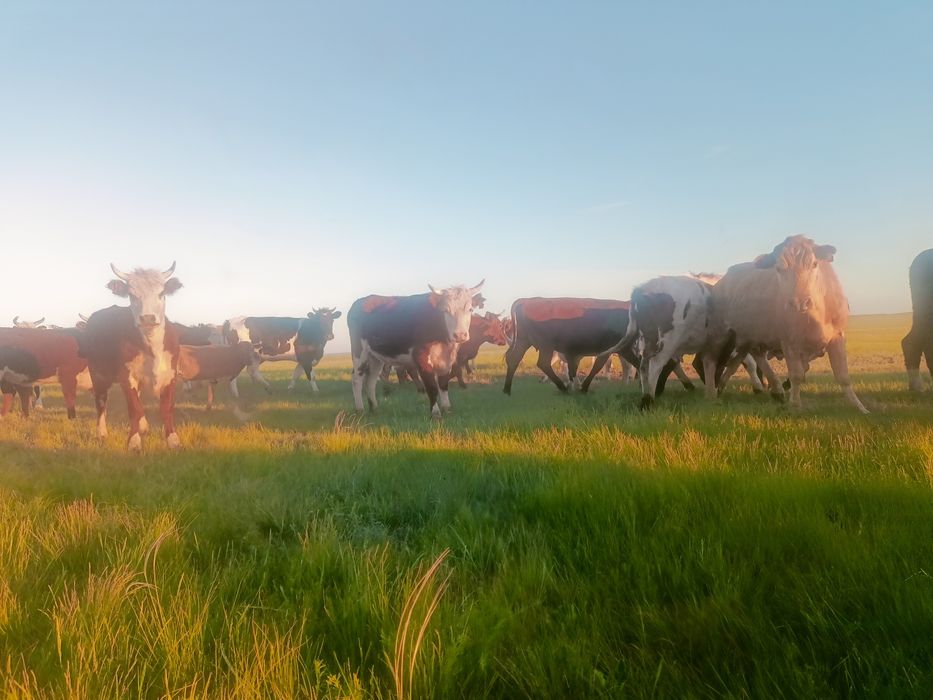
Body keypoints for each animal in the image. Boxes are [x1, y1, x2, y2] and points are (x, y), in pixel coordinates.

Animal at [81, 263, 184, 449]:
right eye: (131, 295)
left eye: (162, 293)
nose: (148, 318)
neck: (152, 347)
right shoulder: (126, 377)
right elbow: (135, 408)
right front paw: (134, 441)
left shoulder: (171, 375)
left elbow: (166, 408)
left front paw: (172, 439)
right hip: (97, 374)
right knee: (101, 401)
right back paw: (102, 432)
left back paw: (143, 426)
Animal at [348, 281, 484, 417]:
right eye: (445, 310)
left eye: (470, 309)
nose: (460, 335)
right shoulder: (421, 357)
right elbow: (432, 387)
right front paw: (435, 413)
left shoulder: (446, 360)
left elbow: (443, 384)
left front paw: (447, 409)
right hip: (359, 352)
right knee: (357, 379)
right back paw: (360, 409)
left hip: (376, 356)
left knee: (370, 381)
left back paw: (375, 408)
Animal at [503, 297, 639, 396]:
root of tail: (526, 300)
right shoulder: (607, 349)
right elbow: (596, 367)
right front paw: (583, 388)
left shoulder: (623, 349)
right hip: (546, 345)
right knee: (543, 363)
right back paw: (563, 388)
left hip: (523, 341)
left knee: (513, 358)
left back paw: (507, 390)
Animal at [706, 236, 868, 413]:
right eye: (778, 269)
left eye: (814, 264)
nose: (799, 303)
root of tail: (721, 282)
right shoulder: (788, 341)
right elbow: (796, 375)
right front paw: (795, 406)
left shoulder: (837, 336)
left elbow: (843, 375)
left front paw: (859, 407)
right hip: (719, 333)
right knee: (711, 362)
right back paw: (712, 394)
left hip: (747, 336)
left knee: (747, 359)